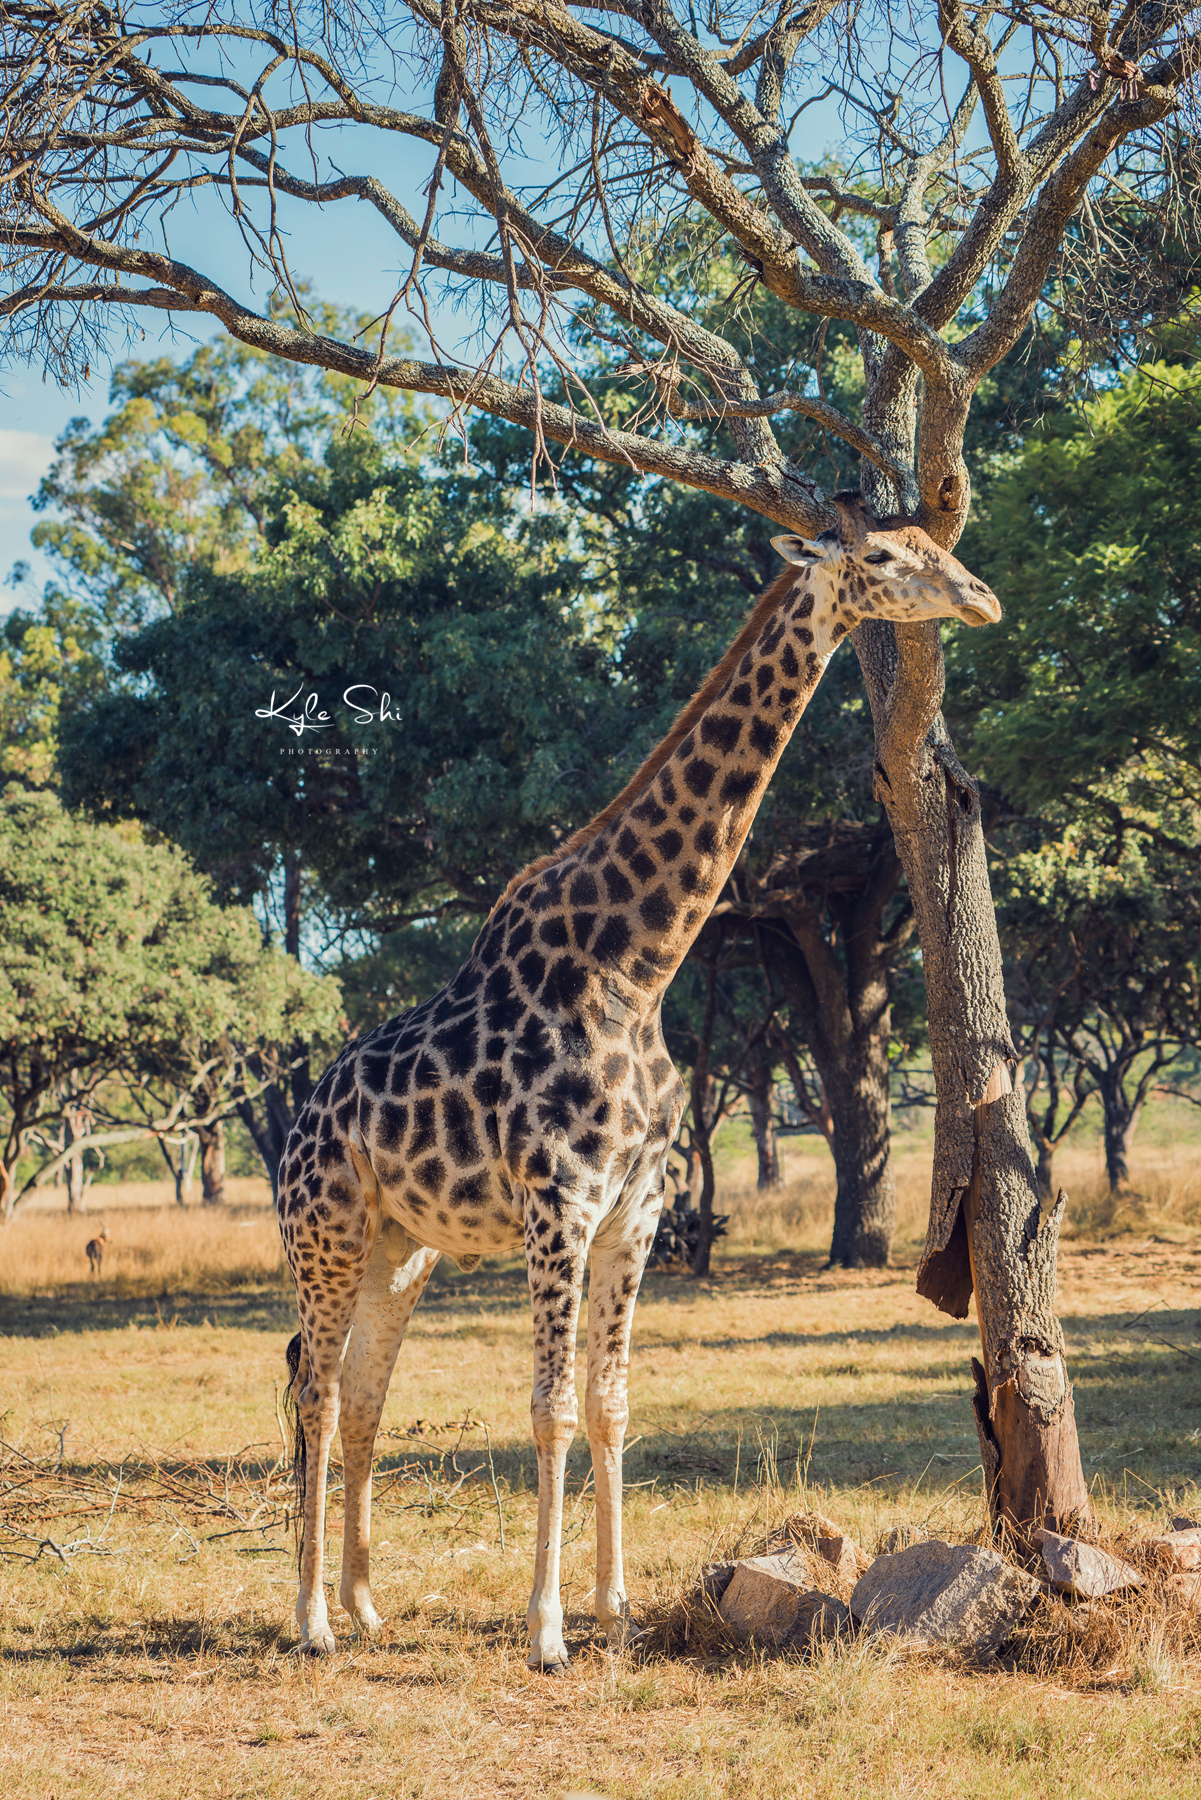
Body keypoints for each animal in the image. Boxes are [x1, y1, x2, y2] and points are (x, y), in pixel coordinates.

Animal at [277, 489, 1001, 1656]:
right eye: (889, 556)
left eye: (936, 544)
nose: (979, 596)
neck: (639, 961)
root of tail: (296, 1124)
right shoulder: (558, 1203)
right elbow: (550, 1408)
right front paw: (546, 1632)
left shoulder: (639, 1207)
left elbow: (611, 1401)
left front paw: (612, 1607)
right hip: (327, 1232)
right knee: (312, 1388)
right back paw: (308, 1621)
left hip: (399, 1248)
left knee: (359, 1393)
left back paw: (363, 1602)